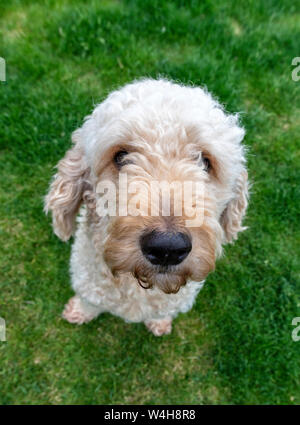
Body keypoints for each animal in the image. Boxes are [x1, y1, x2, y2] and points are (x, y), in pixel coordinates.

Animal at [44, 78, 248, 334]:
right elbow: (89, 301)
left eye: (204, 160)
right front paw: (79, 312)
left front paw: (159, 324)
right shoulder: (88, 285)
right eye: (120, 156)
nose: (167, 248)